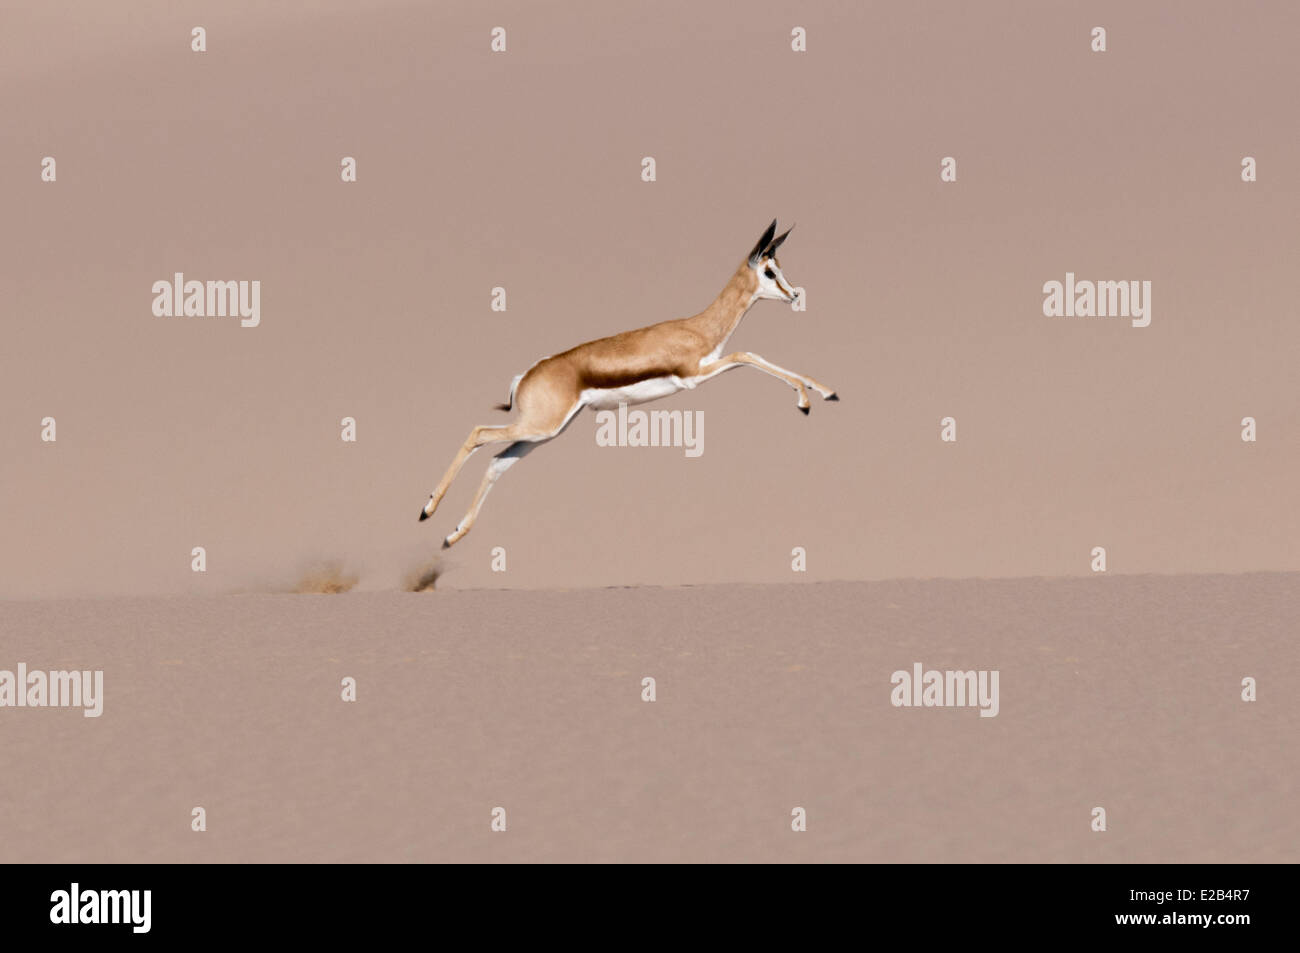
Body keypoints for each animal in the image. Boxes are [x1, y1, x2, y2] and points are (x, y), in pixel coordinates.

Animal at [421, 219, 837, 546]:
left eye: (779, 266)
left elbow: (754, 356)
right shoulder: (695, 376)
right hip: (540, 427)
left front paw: (826, 392)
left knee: (496, 462)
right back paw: (426, 509)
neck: (698, 328)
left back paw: (451, 535)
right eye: (769, 271)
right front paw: (806, 400)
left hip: (544, 432)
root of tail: (527, 374)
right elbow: (748, 355)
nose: (794, 294)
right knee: (478, 434)